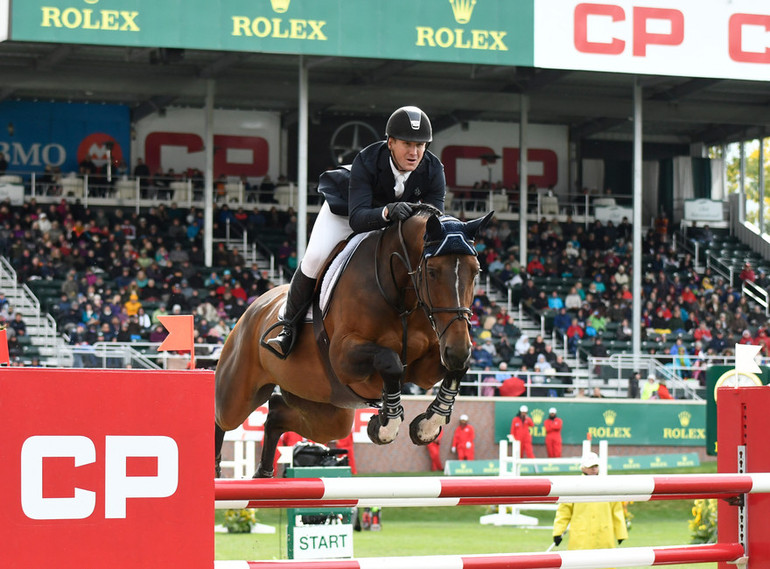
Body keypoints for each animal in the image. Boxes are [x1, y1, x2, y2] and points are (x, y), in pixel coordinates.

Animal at [214, 206, 492, 478]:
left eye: (476, 271)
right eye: (432, 272)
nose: (457, 349)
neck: (402, 295)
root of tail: (256, 306)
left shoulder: (426, 367)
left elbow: (455, 369)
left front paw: (428, 425)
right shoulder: (343, 357)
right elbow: (390, 361)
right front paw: (385, 425)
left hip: (326, 410)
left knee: (276, 414)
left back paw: (263, 472)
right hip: (239, 393)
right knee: (222, 418)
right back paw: (216, 468)